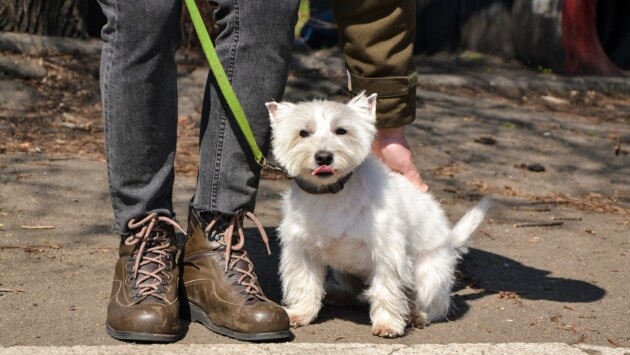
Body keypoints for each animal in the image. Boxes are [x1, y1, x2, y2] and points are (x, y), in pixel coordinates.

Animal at [264, 93, 492, 338]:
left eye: (341, 130)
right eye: (303, 133)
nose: (323, 157)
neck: (332, 193)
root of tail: (451, 240)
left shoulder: (386, 251)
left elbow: (385, 289)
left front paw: (387, 324)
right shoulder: (302, 250)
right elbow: (304, 283)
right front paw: (300, 313)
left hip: (428, 274)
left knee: (433, 304)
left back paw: (416, 315)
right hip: (345, 272)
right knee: (355, 293)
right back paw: (335, 294)